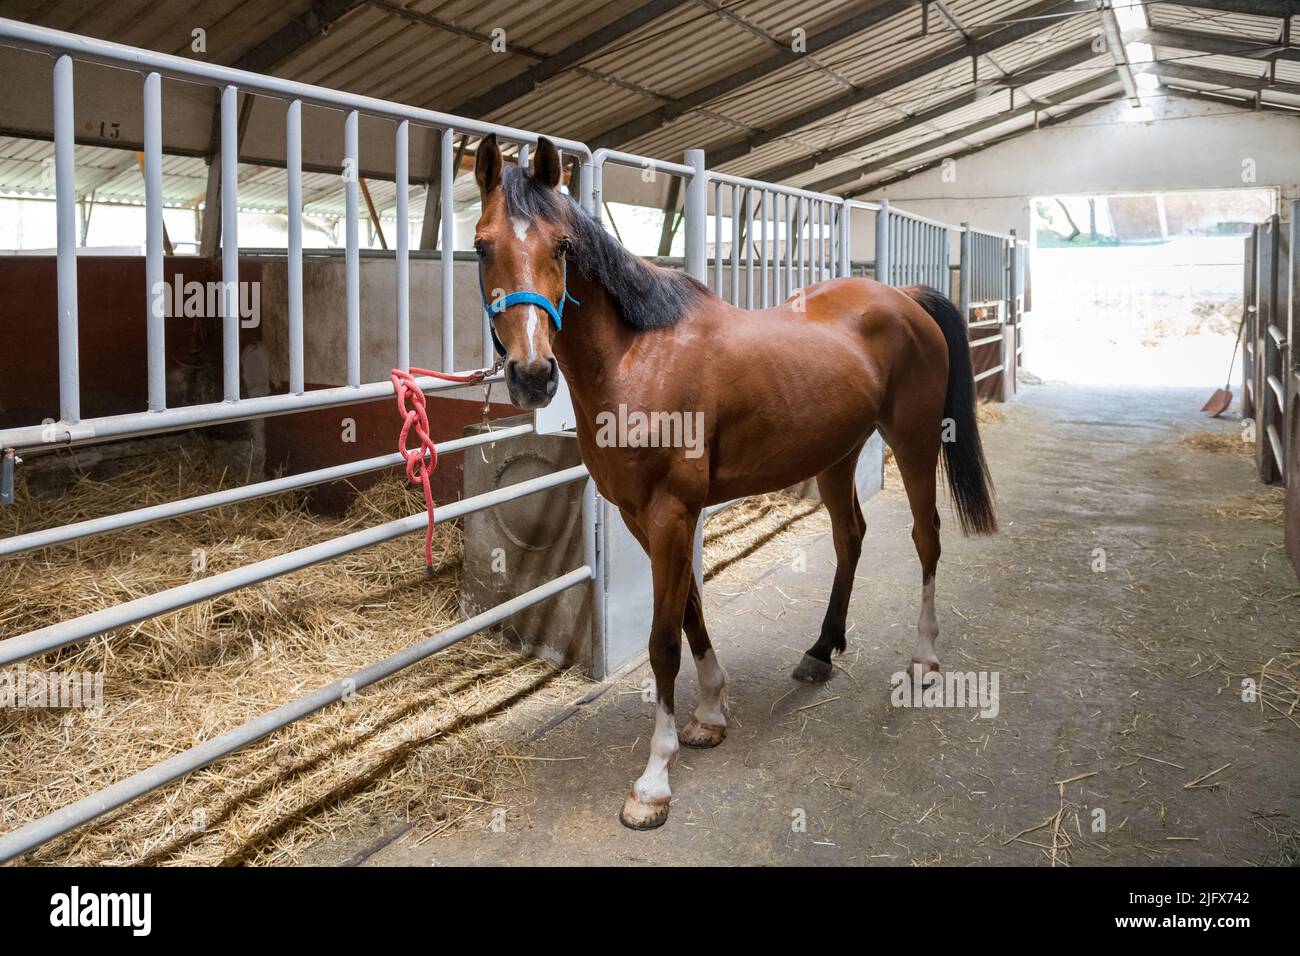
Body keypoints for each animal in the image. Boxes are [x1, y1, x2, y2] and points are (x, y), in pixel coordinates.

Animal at [471, 135, 997, 830]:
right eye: (481, 246)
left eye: (561, 246)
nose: (532, 374)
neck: (637, 357)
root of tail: (905, 298)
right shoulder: (646, 516)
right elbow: (690, 610)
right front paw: (710, 714)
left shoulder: (670, 511)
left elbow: (663, 641)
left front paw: (654, 781)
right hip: (836, 455)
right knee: (850, 536)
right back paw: (821, 651)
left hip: (912, 443)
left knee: (925, 536)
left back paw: (925, 659)